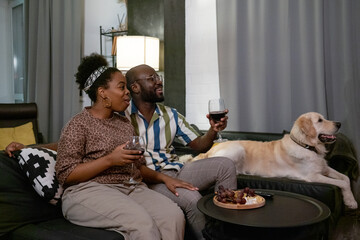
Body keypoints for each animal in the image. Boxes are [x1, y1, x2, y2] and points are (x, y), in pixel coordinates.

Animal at [191, 112, 358, 208]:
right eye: (320, 120)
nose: (339, 124)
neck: (306, 146)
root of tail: (209, 150)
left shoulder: (324, 168)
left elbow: (345, 178)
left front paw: (351, 200)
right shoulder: (313, 176)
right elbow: (342, 183)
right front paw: (351, 202)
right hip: (236, 149)